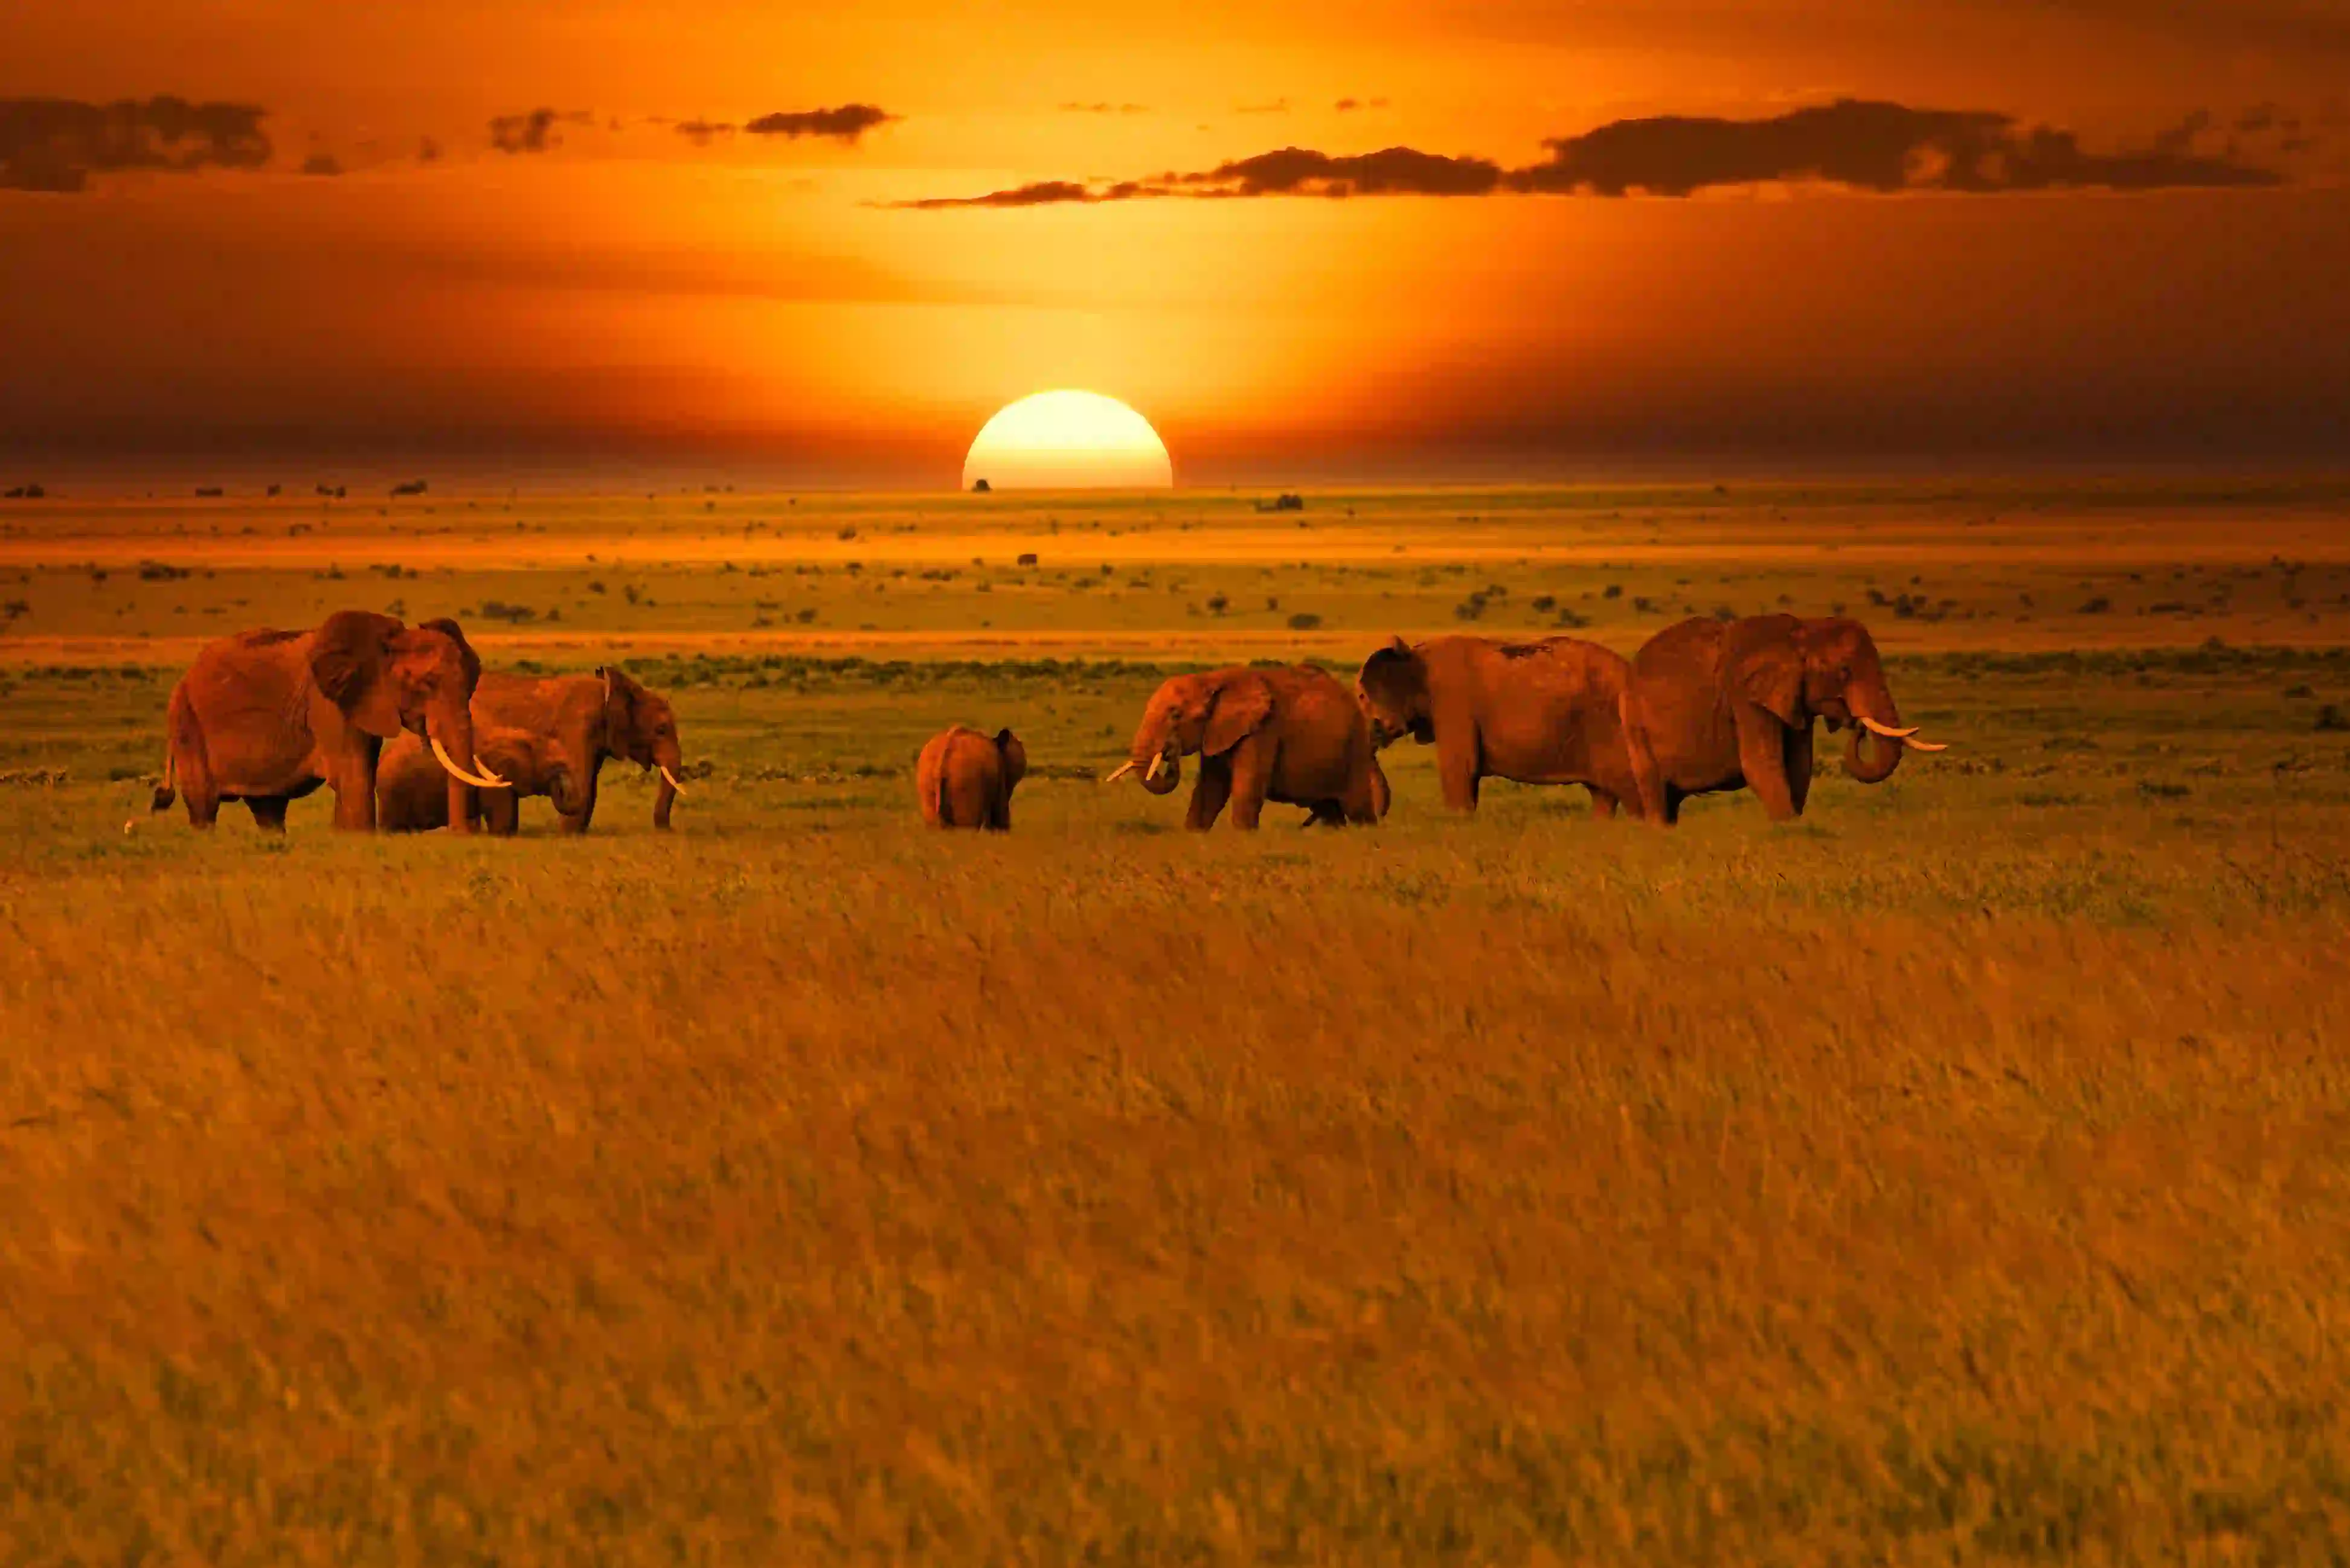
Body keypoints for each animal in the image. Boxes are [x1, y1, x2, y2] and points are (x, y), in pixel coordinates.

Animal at [151, 610, 506, 832]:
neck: (385, 643)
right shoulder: (326, 703)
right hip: (184, 719)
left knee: (268, 809)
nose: (463, 834)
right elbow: (353, 775)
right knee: (203, 805)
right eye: (426, 683)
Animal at [462, 665, 689, 833]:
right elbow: (583, 781)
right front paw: (567, 834)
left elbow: (590, 786)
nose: (667, 830)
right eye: (661, 730)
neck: (608, 693)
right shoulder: (577, 728)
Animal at [1104, 664, 1382, 829]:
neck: (1211, 679)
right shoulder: (1216, 731)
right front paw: (1194, 835)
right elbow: (1210, 790)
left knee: (1357, 808)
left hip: (1355, 744)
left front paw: (1244, 837)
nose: (1169, 752)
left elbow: (1246, 788)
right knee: (1329, 810)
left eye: (1175, 714)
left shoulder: (1263, 729)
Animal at [1624, 614, 1947, 825]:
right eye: (1844, 672)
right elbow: (1761, 763)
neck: (1803, 632)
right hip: (1634, 720)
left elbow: (1799, 765)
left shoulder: (1794, 698)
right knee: (1653, 787)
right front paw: (1788, 827)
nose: (1857, 726)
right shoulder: (1747, 697)